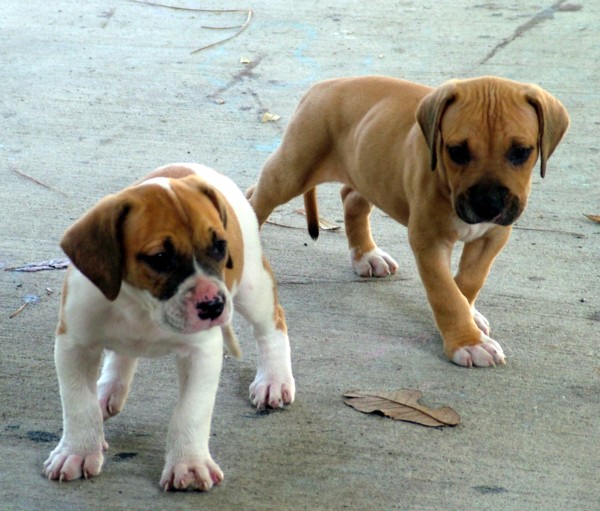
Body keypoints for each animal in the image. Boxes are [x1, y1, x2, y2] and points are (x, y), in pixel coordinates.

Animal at [44, 164, 292, 492]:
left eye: (219, 246)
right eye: (160, 258)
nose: (213, 306)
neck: (142, 307)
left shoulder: (201, 354)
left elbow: (191, 412)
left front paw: (189, 464)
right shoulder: (74, 346)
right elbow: (78, 404)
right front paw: (77, 451)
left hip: (253, 288)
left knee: (272, 325)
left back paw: (274, 379)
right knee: (122, 354)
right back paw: (109, 388)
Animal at [246, 75, 568, 368]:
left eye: (521, 152)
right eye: (457, 151)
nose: (488, 204)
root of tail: (323, 85)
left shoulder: (492, 236)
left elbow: (469, 282)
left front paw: (469, 317)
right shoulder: (429, 240)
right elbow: (445, 293)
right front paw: (468, 341)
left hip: (369, 172)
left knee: (351, 199)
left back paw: (367, 256)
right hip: (292, 170)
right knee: (255, 197)